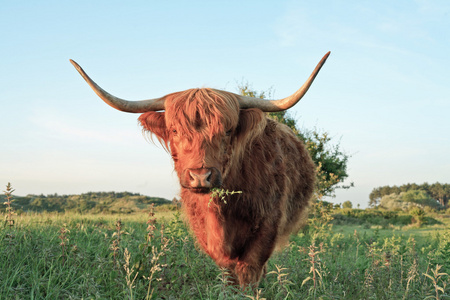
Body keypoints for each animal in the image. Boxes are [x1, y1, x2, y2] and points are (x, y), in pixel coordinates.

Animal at [70, 52, 330, 288]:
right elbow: (227, 271)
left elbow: (250, 268)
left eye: (227, 131)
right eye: (174, 130)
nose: (201, 176)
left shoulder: (268, 224)